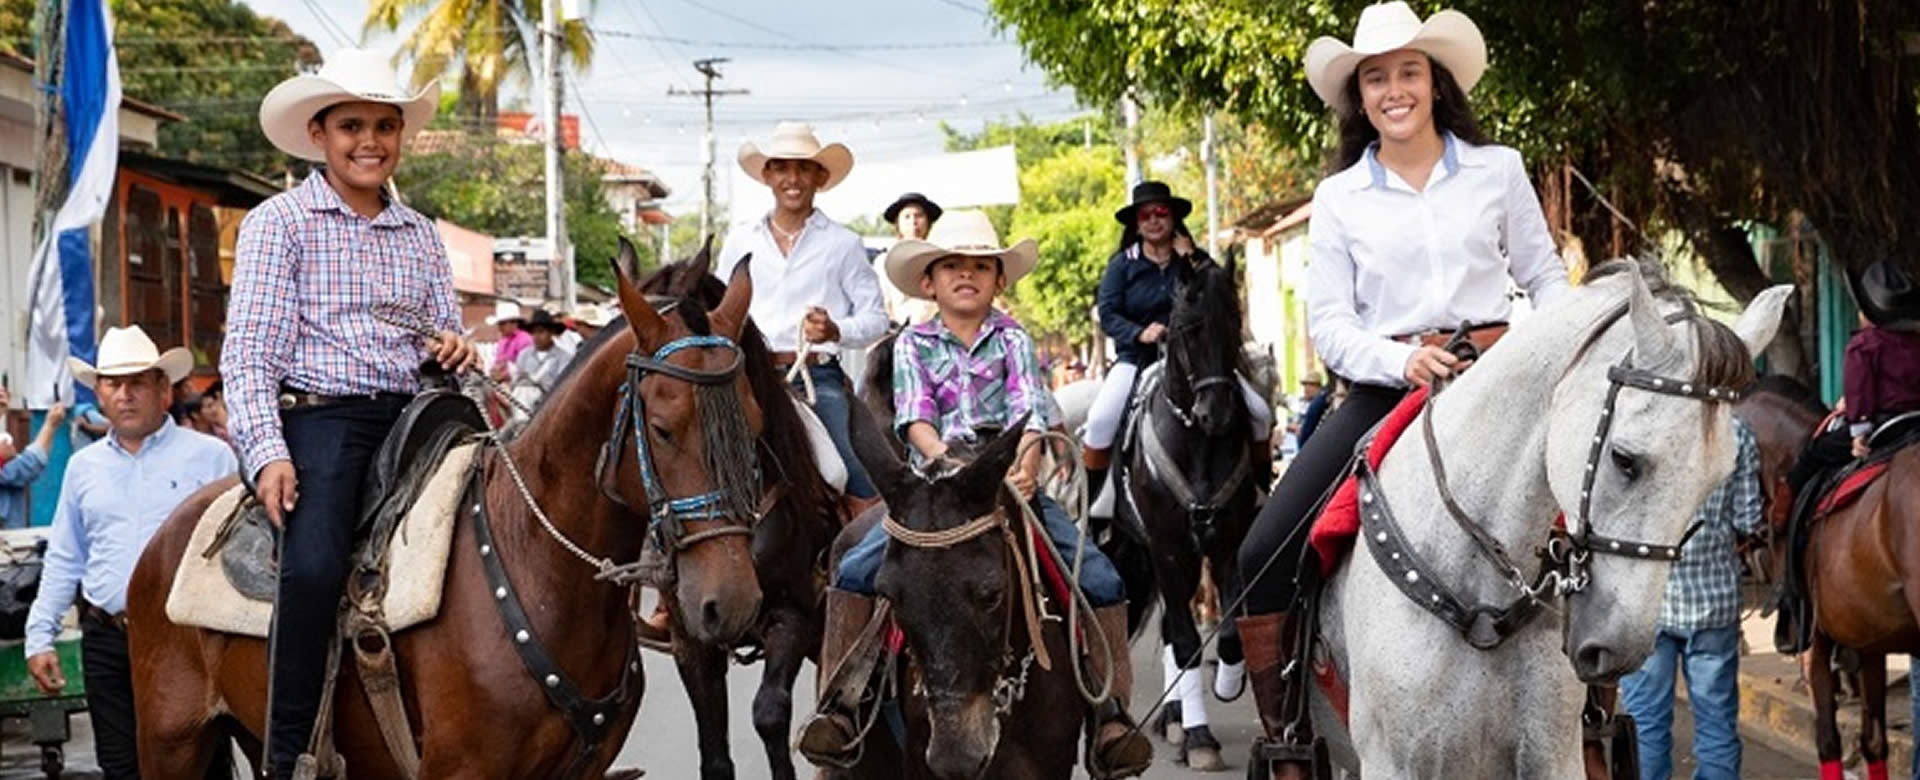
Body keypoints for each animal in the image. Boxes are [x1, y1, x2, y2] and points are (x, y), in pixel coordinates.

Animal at [121, 253, 771, 776]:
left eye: (758, 425)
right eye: (661, 429)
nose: (731, 602)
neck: (533, 565)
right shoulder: (463, 770)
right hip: (170, 743)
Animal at [1313, 263, 1789, 780]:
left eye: (1718, 479)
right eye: (1624, 459)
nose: (1618, 649)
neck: (1480, 606)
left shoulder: (1555, 758)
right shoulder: (1391, 762)